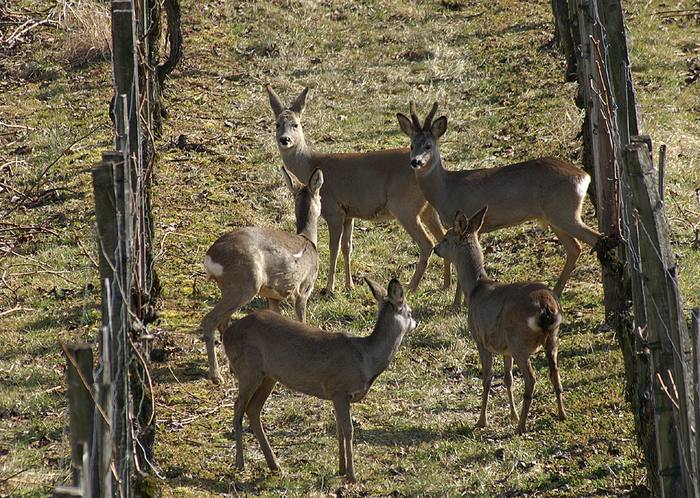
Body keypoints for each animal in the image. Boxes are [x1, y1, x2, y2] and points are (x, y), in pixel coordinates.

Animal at [198, 168, 324, 386]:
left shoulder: (273, 296)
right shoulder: (303, 288)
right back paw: (216, 375)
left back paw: (231, 369)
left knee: (223, 322)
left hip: (233, 288)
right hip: (245, 284)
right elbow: (302, 321)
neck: (308, 240)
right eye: (321, 196)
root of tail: (210, 258)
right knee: (210, 320)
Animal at [221, 278, 416, 480]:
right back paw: (241, 463)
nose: (415, 323)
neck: (366, 359)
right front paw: (352, 475)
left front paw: (341, 468)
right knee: (238, 409)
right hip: (247, 370)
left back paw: (274, 465)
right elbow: (348, 430)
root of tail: (226, 335)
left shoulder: (336, 396)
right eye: (409, 312)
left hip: (268, 376)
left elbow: (339, 430)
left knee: (253, 409)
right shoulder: (340, 389)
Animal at [266, 85, 452, 296]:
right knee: (442, 238)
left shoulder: (334, 210)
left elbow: (334, 248)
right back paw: (446, 285)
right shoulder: (349, 213)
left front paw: (329, 288)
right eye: (277, 124)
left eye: (296, 124)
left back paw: (411, 287)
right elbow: (347, 247)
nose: (285, 139)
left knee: (427, 244)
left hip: (405, 207)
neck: (310, 163)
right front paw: (349, 285)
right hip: (427, 208)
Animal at [396, 101, 604, 304]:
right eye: (412, 145)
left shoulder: (466, 217)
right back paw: (557, 291)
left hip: (564, 212)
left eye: (428, 146)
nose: (415, 162)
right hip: (555, 217)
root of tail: (584, 176)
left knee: (594, 239)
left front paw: (456, 304)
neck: (446, 189)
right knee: (575, 248)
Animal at [434, 205, 568, 432]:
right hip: (552, 337)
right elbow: (508, 378)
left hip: (519, 339)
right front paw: (512, 415)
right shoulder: (505, 348)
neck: (474, 289)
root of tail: (545, 307)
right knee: (555, 373)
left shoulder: (480, 338)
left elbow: (487, 378)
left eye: (445, 237)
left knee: (531, 378)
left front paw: (482, 420)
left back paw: (522, 426)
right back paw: (561, 414)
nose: (435, 248)